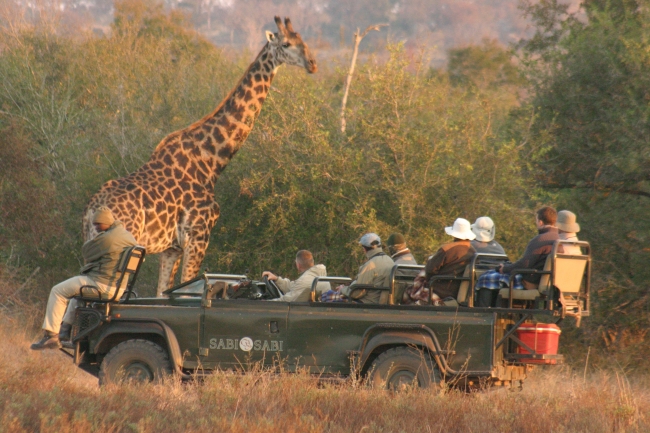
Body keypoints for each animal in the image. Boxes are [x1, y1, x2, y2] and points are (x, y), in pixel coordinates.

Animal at [82, 15, 316, 296]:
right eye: (286, 44)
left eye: (303, 41)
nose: (312, 64)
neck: (212, 160)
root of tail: (92, 209)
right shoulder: (198, 237)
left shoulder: (172, 247)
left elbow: (163, 292)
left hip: (90, 245)